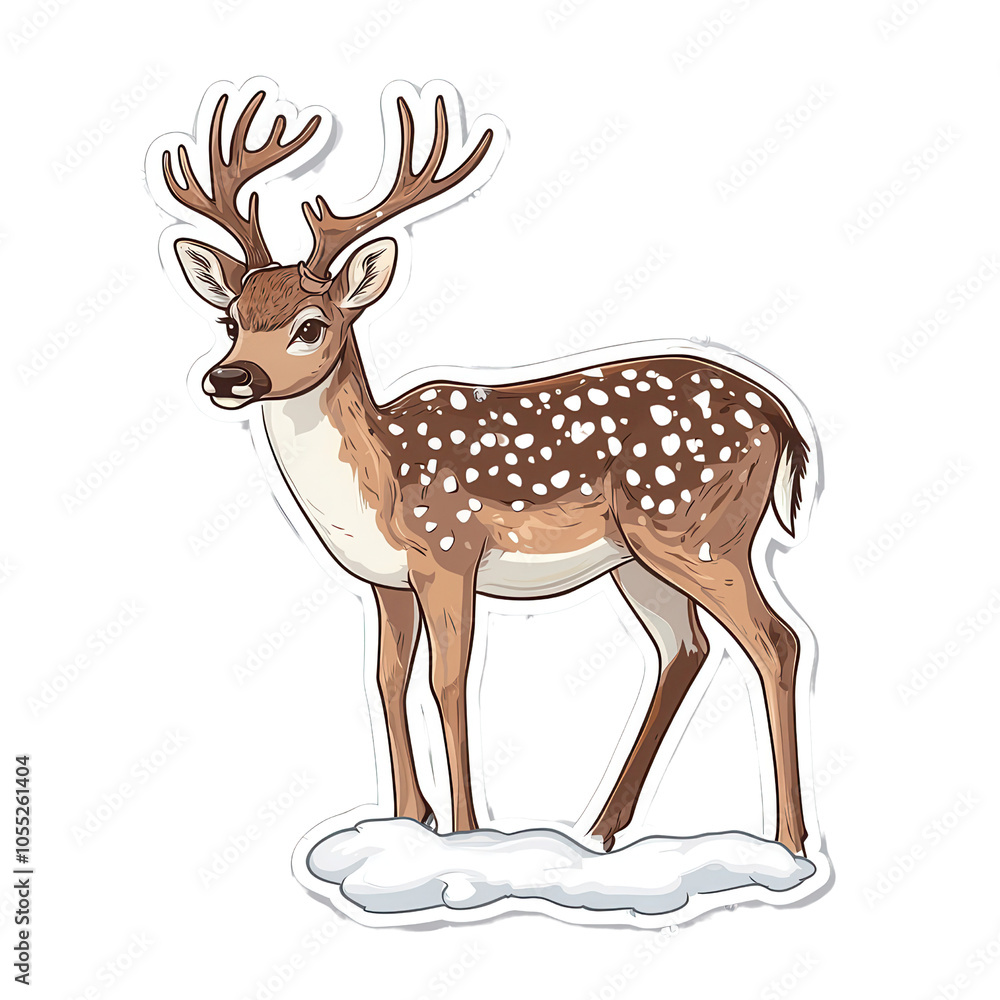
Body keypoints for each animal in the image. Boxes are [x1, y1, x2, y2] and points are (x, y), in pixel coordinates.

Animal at [155, 83, 813, 856]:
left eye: (311, 325)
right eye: (230, 320)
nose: (228, 377)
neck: (377, 486)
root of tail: (782, 417)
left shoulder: (449, 549)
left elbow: (448, 681)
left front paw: (467, 832)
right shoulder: (387, 583)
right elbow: (386, 679)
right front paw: (408, 819)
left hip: (698, 531)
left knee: (777, 640)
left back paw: (791, 843)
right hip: (639, 558)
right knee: (686, 648)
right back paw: (599, 829)